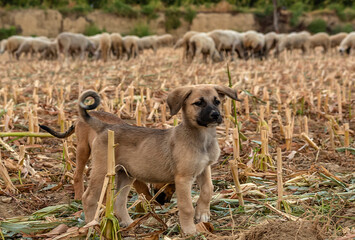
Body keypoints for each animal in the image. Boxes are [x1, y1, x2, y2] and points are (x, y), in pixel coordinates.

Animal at [39, 111, 175, 204]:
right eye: (169, 184)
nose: (167, 201)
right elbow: (144, 189)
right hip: (83, 149)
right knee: (77, 174)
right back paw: (78, 197)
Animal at [77, 85, 239, 234]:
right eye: (198, 103)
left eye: (217, 101)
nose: (216, 115)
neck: (202, 138)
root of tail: (105, 127)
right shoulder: (183, 178)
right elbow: (186, 207)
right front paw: (190, 230)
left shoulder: (204, 169)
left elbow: (208, 190)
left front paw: (202, 213)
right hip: (103, 171)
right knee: (89, 198)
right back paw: (92, 228)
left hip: (126, 175)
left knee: (119, 201)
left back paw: (129, 223)